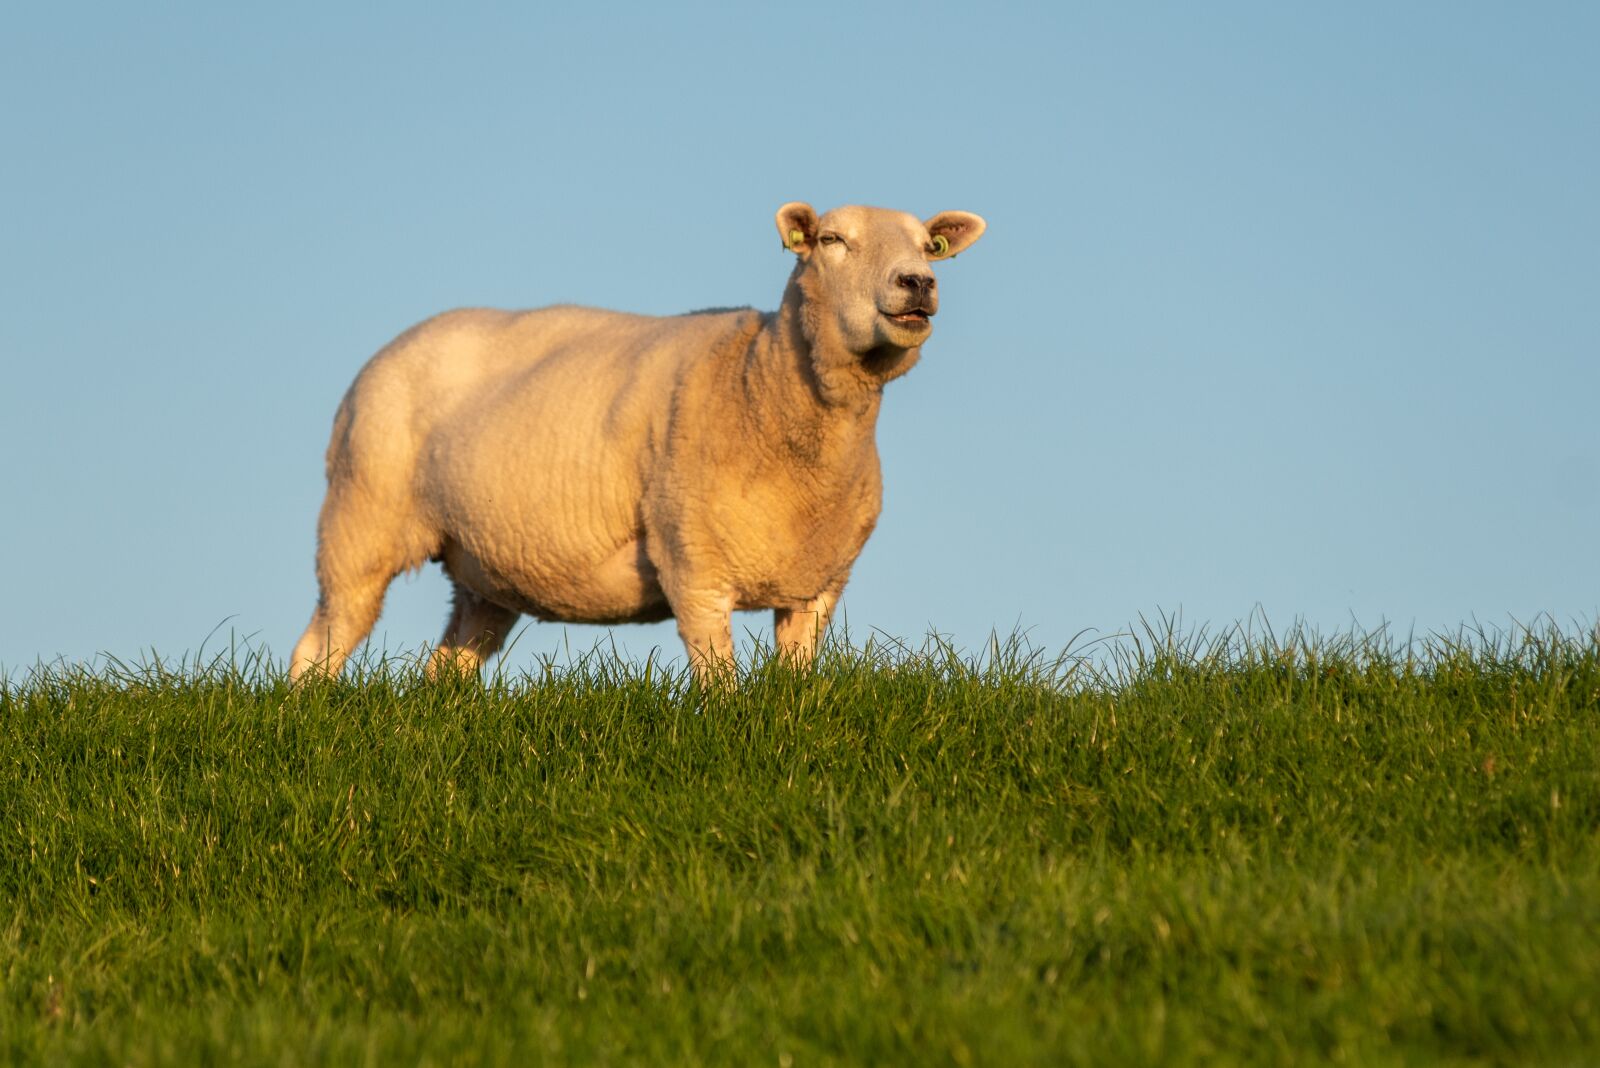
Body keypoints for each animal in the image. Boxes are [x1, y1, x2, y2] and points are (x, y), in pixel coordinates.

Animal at [288, 202, 987, 683]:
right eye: (832, 240)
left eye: (930, 246)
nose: (917, 282)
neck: (759, 384)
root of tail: (395, 345)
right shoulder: (693, 564)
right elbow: (719, 684)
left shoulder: (819, 582)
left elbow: (792, 685)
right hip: (360, 522)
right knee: (321, 642)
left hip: (484, 567)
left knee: (446, 666)